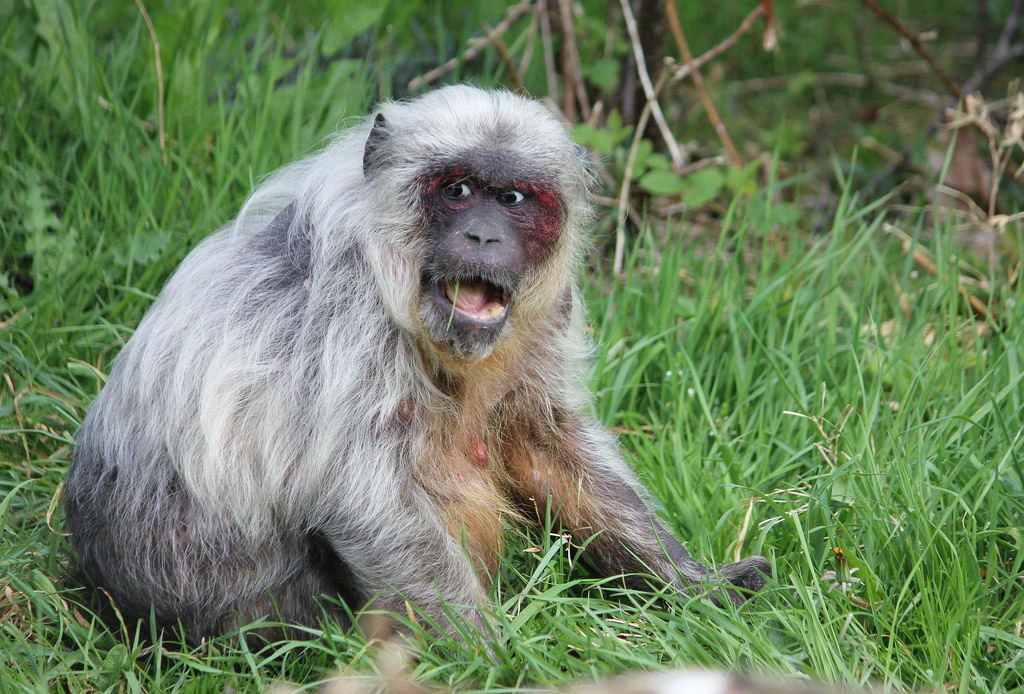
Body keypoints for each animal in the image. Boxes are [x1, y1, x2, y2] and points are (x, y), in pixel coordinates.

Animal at [63, 85, 769, 647]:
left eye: (512, 199)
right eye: (457, 191)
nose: (483, 235)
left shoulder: (547, 312)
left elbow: (548, 444)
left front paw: (692, 586)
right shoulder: (350, 302)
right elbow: (363, 497)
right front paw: (495, 661)